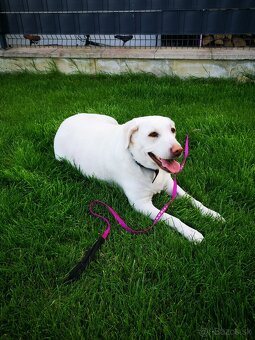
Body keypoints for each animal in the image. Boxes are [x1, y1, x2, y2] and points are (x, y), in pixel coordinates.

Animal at [54, 114, 223, 242]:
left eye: (173, 130)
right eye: (153, 134)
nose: (179, 150)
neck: (150, 170)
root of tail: (66, 120)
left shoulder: (170, 185)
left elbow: (193, 199)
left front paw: (212, 214)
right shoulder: (141, 204)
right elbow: (171, 218)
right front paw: (192, 233)